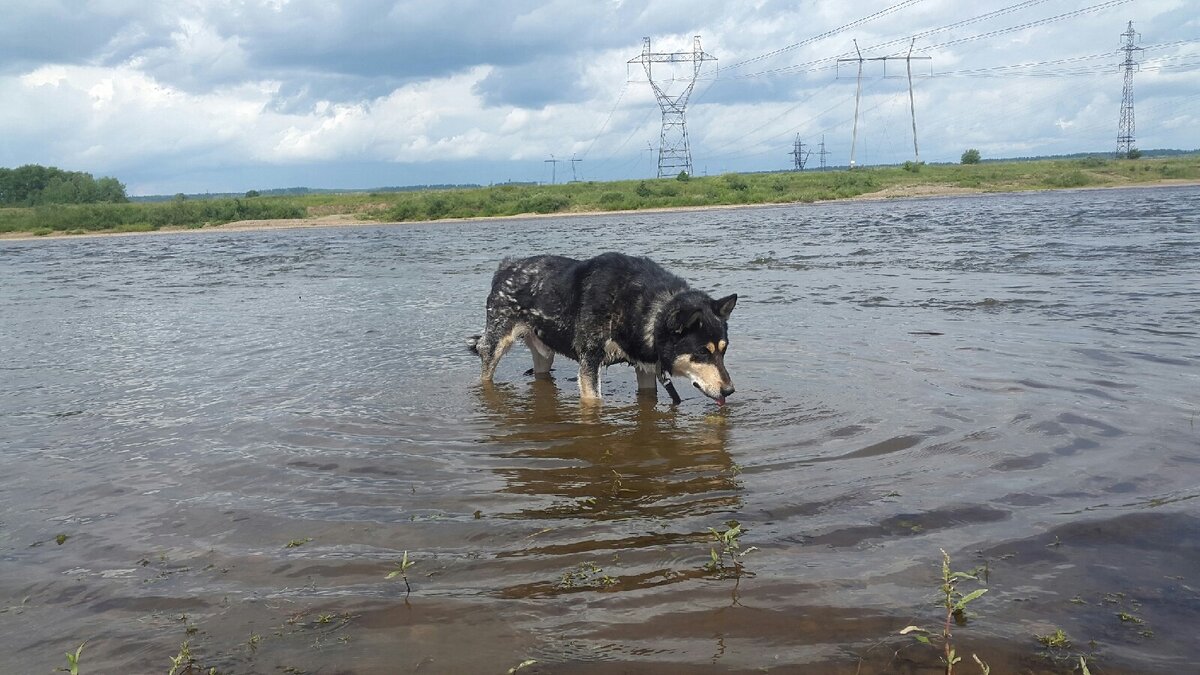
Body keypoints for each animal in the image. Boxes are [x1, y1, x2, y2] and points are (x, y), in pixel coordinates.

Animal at [465, 249, 729, 401]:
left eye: (724, 350)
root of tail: (505, 267)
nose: (729, 390)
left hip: (544, 355)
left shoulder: (644, 367)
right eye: (702, 353)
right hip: (495, 345)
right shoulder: (589, 363)